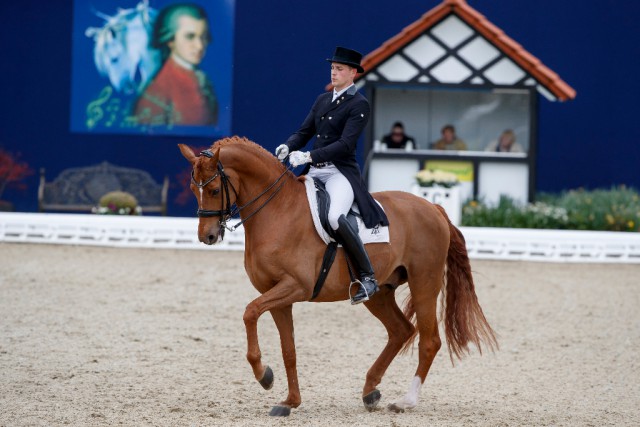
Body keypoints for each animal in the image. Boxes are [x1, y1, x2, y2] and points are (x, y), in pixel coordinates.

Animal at [178, 138, 498, 418]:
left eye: (215, 190)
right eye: (194, 188)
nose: (207, 236)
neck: (278, 210)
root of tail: (433, 207)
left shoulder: (295, 287)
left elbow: (249, 312)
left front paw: (264, 376)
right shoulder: (278, 295)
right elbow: (288, 349)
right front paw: (289, 401)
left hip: (424, 283)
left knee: (429, 341)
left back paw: (405, 401)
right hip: (379, 292)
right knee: (401, 330)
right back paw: (370, 391)